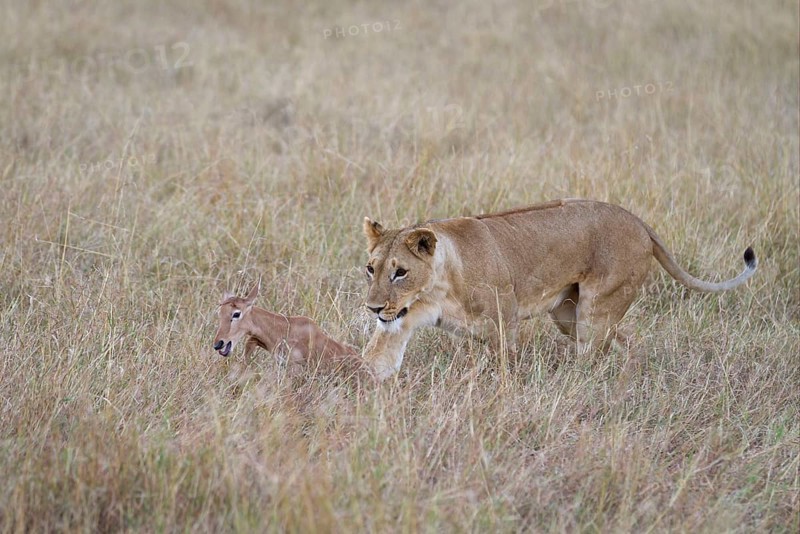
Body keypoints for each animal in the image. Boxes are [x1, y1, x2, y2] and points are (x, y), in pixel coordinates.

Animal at [361, 199, 757, 380]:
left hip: (595, 310)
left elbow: (504, 369)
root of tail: (637, 220)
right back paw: (632, 370)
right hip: (568, 313)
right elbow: (378, 356)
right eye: (371, 269)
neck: (439, 284)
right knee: (625, 338)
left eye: (400, 272)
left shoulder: (504, 325)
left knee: (593, 353)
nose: (373, 309)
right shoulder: (405, 318)